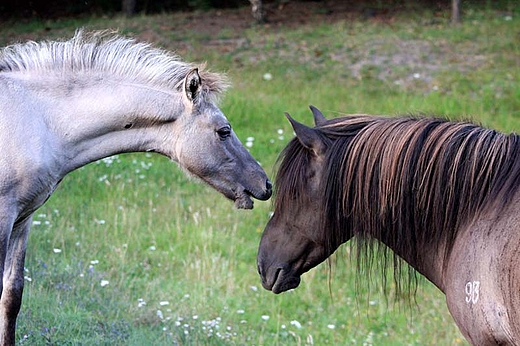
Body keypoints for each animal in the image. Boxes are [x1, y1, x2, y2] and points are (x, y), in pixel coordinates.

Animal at [1, 30, 272, 344]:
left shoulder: (23, 219)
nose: (265, 184)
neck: (38, 118)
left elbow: (12, 296)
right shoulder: (4, 216)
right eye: (224, 131)